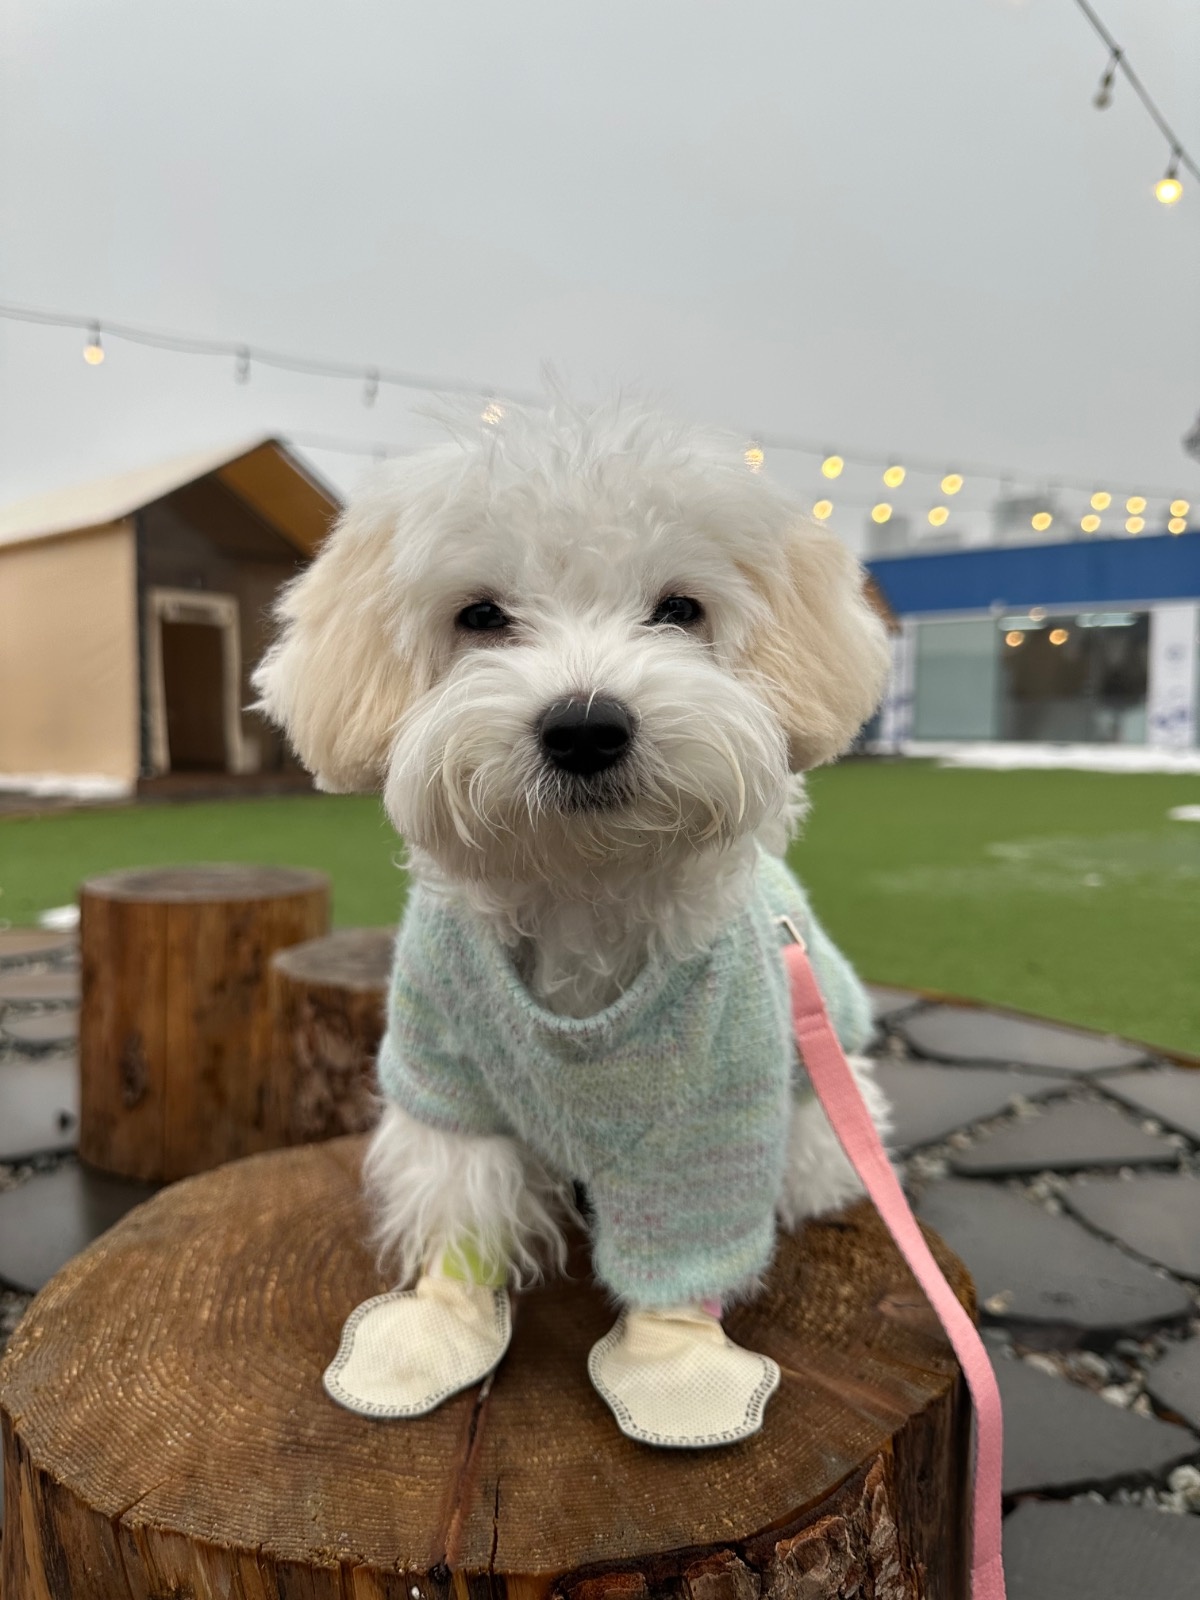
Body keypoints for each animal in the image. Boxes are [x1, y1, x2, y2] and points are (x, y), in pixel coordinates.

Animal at [254, 400, 896, 1452]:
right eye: (479, 615)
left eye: (680, 609)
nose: (586, 727)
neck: (582, 888)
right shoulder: (447, 1072)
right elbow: (461, 1203)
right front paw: (432, 1331)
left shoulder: (710, 1113)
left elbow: (685, 1242)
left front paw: (677, 1370)